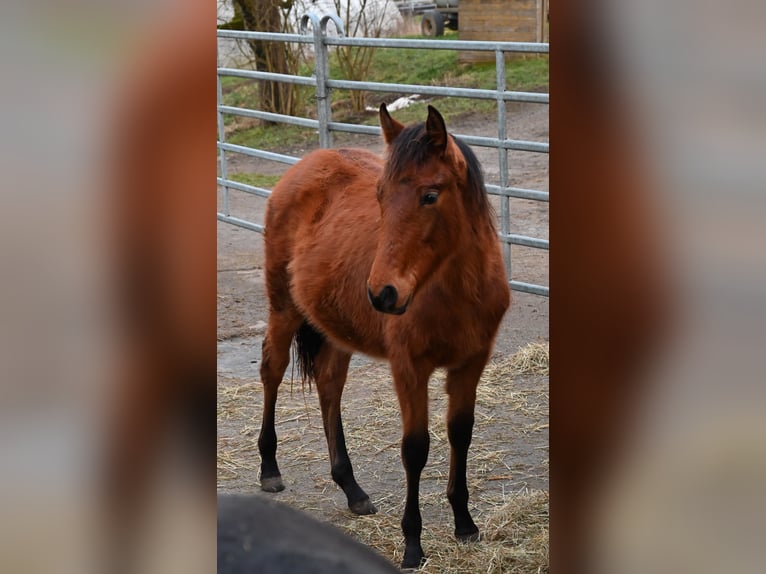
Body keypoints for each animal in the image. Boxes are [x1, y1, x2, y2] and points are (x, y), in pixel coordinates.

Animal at [258, 103, 511, 569]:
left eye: (430, 195)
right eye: (379, 195)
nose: (382, 293)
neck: (454, 291)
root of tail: (303, 167)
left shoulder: (471, 363)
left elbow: (461, 433)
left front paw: (464, 523)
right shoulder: (409, 367)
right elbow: (415, 448)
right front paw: (413, 544)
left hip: (334, 327)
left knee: (329, 385)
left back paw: (352, 489)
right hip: (284, 308)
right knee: (272, 369)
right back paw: (270, 469)